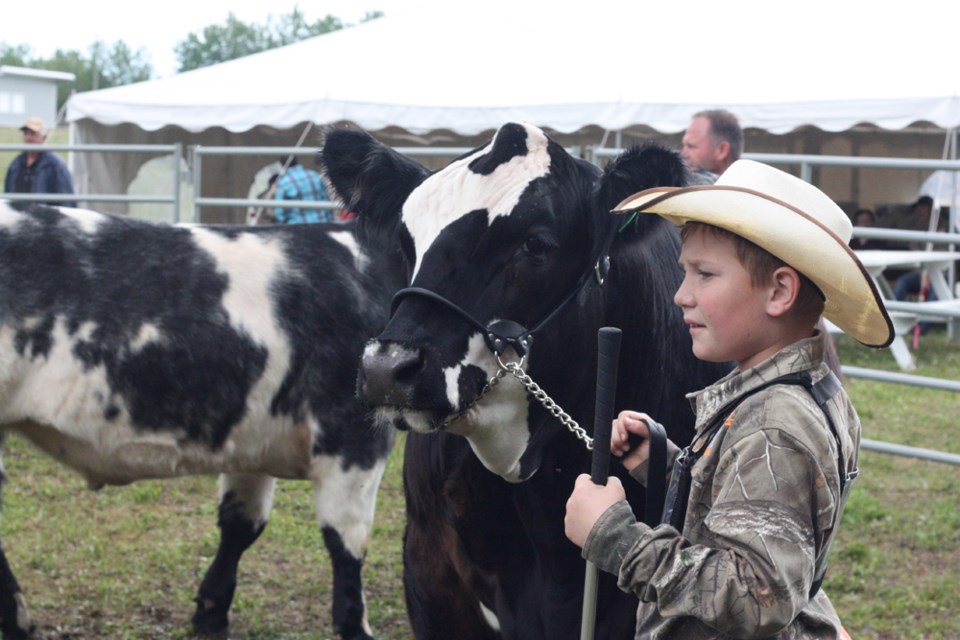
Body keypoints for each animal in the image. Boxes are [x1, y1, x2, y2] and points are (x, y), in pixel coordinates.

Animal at [0, 204, 402, 640]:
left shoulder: (254, 436)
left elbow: (241, 523)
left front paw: (211, 611)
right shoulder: (355, 435)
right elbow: (346, 540)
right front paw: (355, 626)